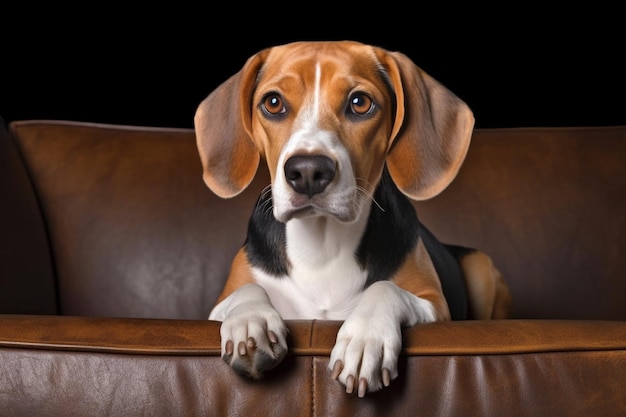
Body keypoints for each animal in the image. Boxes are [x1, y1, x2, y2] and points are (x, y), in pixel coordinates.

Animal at [195, 39, 512, 396]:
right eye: (273, 103)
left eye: (360, 103)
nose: (307, 171)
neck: (322, 245)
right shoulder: (217, 306)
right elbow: (245, 291)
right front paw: (251, 322)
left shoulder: (435, 304)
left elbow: (385, 288)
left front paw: (365, 339)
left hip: (481, 265)